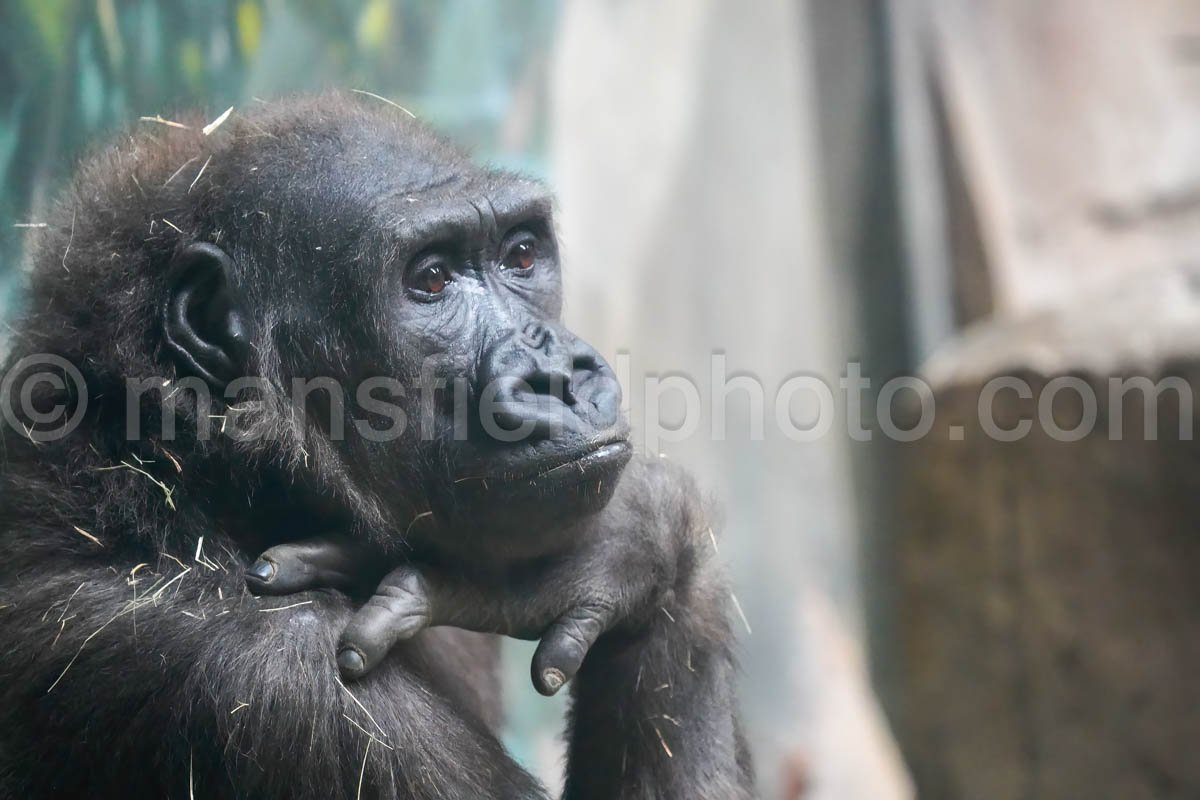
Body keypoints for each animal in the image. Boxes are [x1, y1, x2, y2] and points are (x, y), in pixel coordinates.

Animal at [0, 95, 753, 800]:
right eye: (431, 280)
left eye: (522, 255)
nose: (562, 375)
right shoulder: (277, 674)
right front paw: (630, 532)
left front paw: (632, 541)